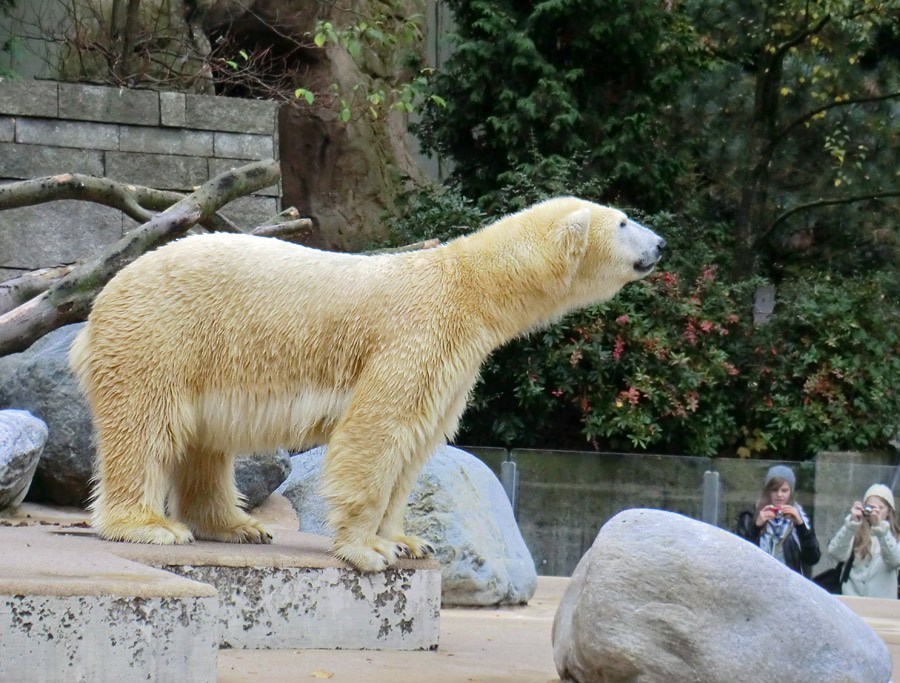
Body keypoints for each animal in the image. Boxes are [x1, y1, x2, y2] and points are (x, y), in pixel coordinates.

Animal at [68, 196, 660, 572]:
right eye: (624, 221)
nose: (662, 244)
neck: (467, 284)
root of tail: (103, 298)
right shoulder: (414, 335)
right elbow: (378, 430)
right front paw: (366, 550)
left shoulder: (453, 362)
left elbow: (417, 443)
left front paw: (405, 541)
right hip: (160, 335)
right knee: (146, 426)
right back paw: (150, 526)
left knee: (205, 443)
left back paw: (238, 525)